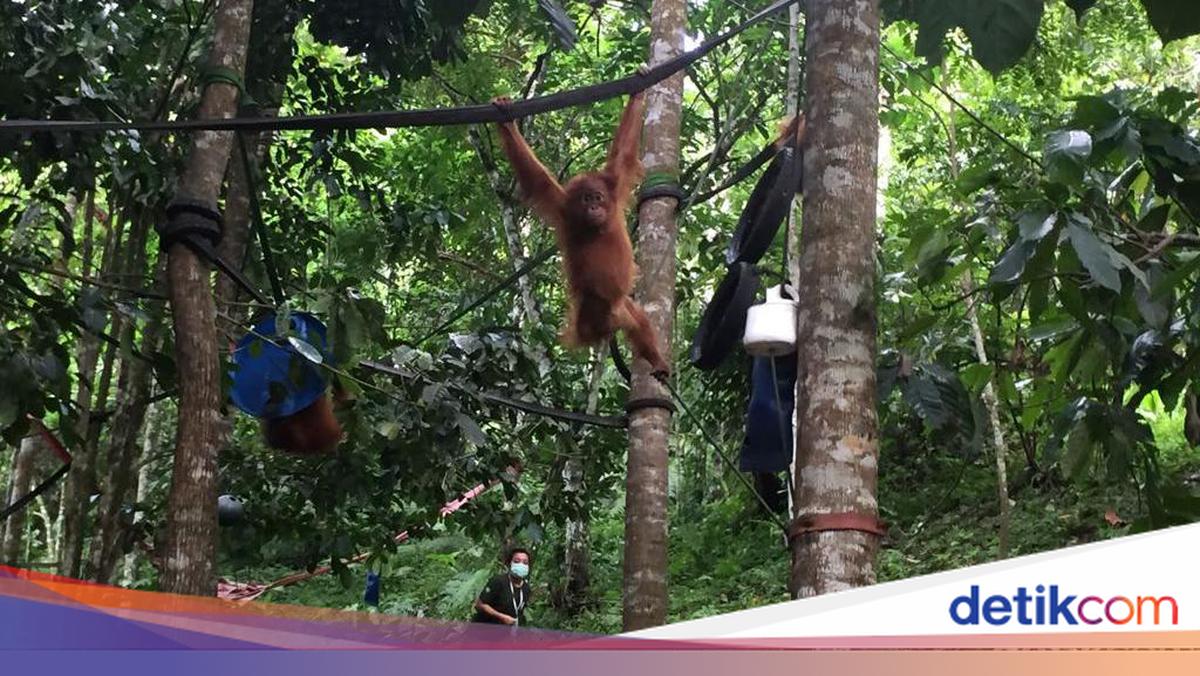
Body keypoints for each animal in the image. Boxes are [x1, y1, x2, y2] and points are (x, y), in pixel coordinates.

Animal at [491, 84, 671, 377]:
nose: (595, 207)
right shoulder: (562, 208)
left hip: (620, 307)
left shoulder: (614, 186)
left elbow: (622, 154)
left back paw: (655, 361)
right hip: (590, 311)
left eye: (597, 197)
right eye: (587, 199)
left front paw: (638, 92)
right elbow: (537, 178)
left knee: (639, 321)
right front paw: (506, 121)